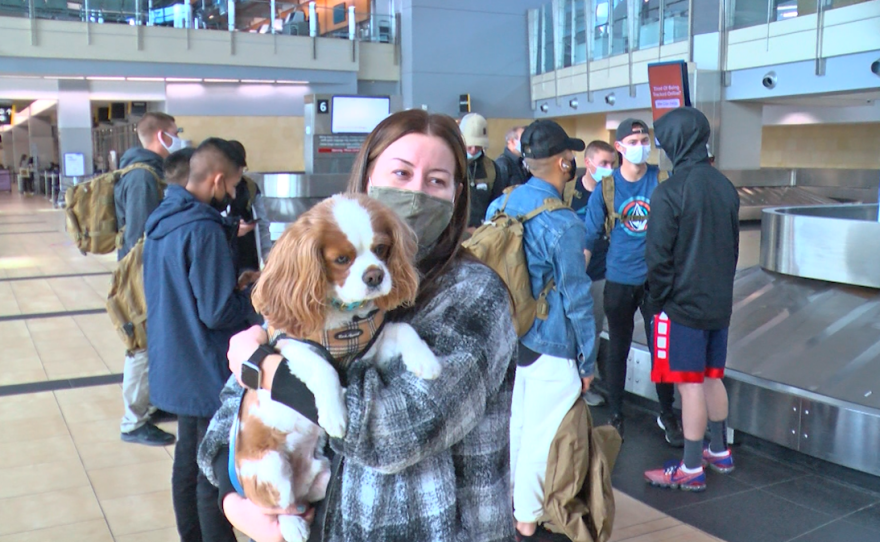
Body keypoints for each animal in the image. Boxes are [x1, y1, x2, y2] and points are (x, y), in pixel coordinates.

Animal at [234, 193, 444, 540]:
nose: (374, 275)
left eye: (381, 249)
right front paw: (335, 415)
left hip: (322, 472)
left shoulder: (371, 349)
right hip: (270, 468)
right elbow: (325, 369)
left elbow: (403, 328)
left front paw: (425, 360)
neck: (345, 318)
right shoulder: (294, 346)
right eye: (342, 259)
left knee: (304, 498)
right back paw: (293, 526)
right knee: (278, 506)